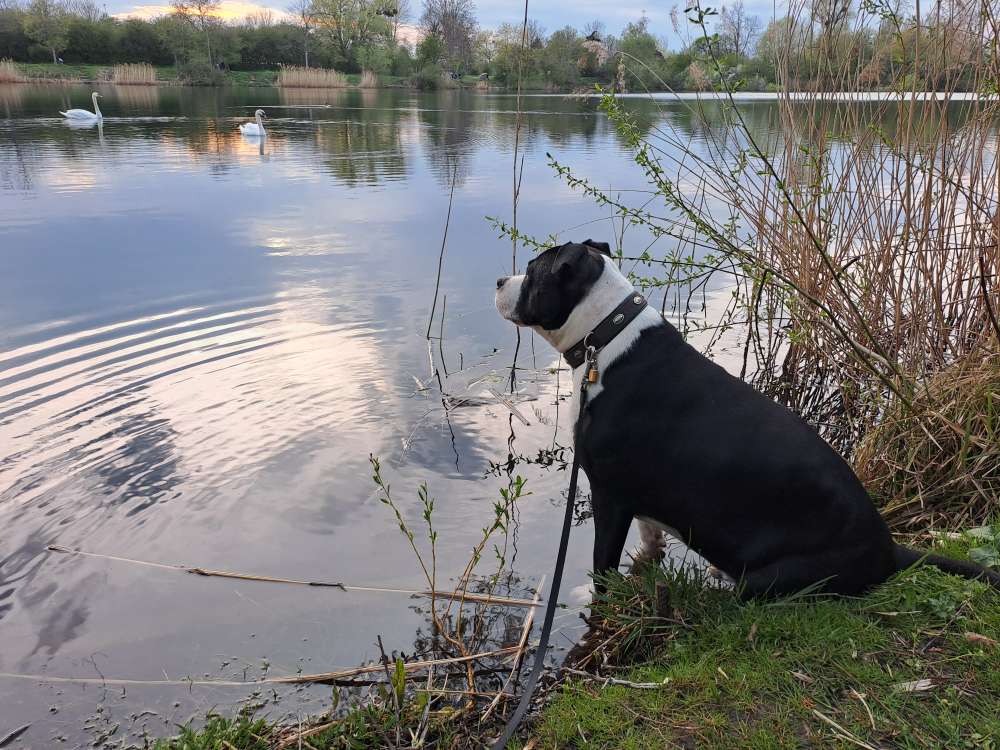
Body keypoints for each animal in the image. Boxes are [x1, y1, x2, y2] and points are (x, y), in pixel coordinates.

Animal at [496, 241, 996, 600]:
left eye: (534, 271)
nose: (501, 278)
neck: (606, 337)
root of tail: (887, 549)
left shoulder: (609, 493)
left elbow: (604, 559)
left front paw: (592, 595)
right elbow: (650, 533)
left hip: (774, 578)